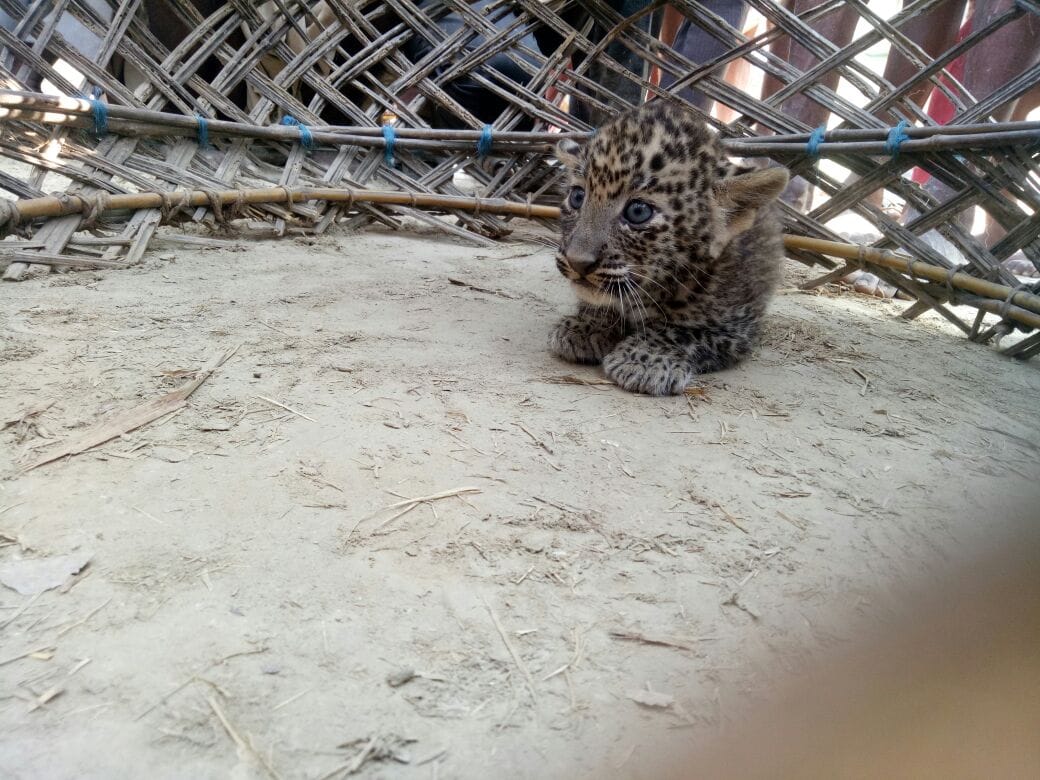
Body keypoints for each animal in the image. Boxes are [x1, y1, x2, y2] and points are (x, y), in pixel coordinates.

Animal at [548, 100, 790, 396]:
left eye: (638, 212)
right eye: (577, 197)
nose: (577, 261)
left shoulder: (736, 328)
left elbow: (683, 332)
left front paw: (645, 359)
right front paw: (586, 326)